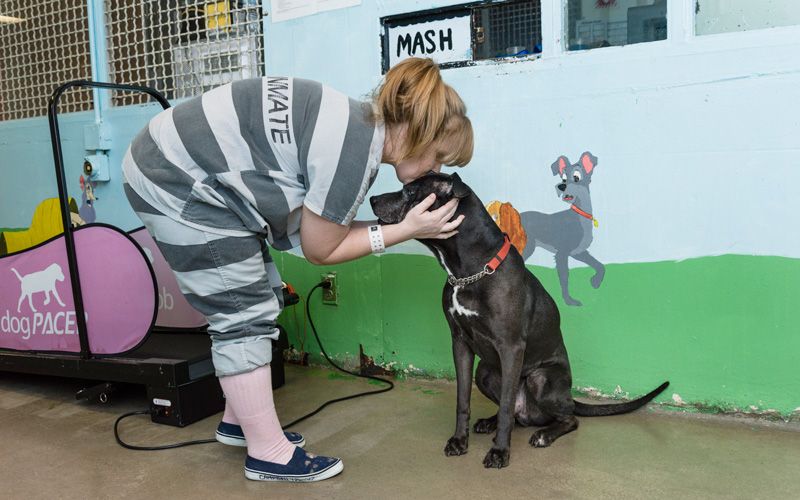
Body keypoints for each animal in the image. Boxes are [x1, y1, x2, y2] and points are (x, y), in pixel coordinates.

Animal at [370, 173, 668, 468]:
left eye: (410, 192)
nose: (372, 198)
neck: (468, 270)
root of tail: (567, 397)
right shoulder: (460, 343)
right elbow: (463, 399)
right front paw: (459, 440)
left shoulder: (511, 347)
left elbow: (505, 406)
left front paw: (500, 452)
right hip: (485, 372)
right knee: (515, 411)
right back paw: (490, 423)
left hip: (541, 379)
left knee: (566, 417)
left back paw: (544, 434)